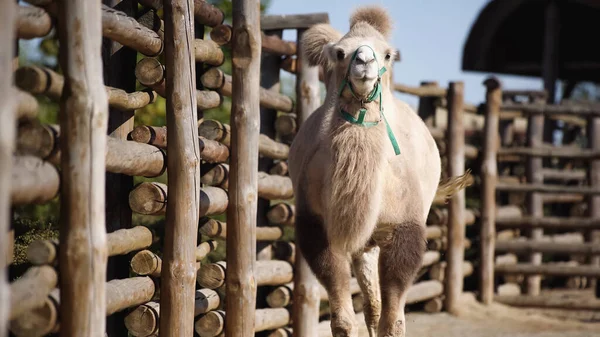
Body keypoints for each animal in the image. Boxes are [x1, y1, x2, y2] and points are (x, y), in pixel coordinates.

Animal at [288, 5, 472, 336]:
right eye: (340, 53)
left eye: (387, 54)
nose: (364, 62)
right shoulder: (315, 224)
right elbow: (343, 317)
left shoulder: (405, 226)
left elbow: (394, 319)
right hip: (366, 242)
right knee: (370, 304)